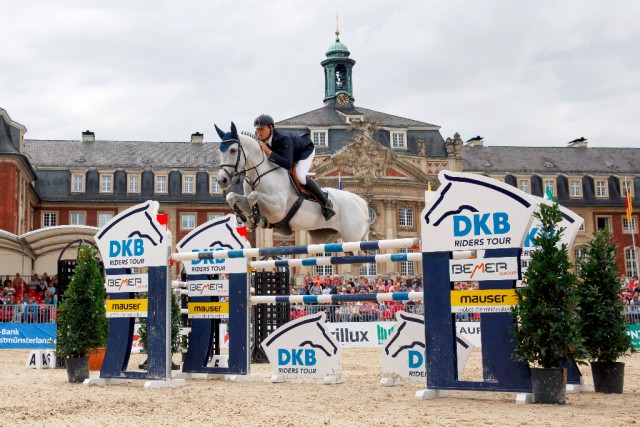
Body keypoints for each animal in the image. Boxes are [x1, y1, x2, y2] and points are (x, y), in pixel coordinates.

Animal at [214, 123, 368, 244]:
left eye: (233, 150)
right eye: (219, 152)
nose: (221, 180)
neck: (258, 175)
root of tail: (360, 202)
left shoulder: (278, 207)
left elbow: (254, 195)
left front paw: (257, 218)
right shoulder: (248, 200)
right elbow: (232, 196)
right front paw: (248, 220)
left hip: (351, 238)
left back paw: (328, 207)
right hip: (324, 236)